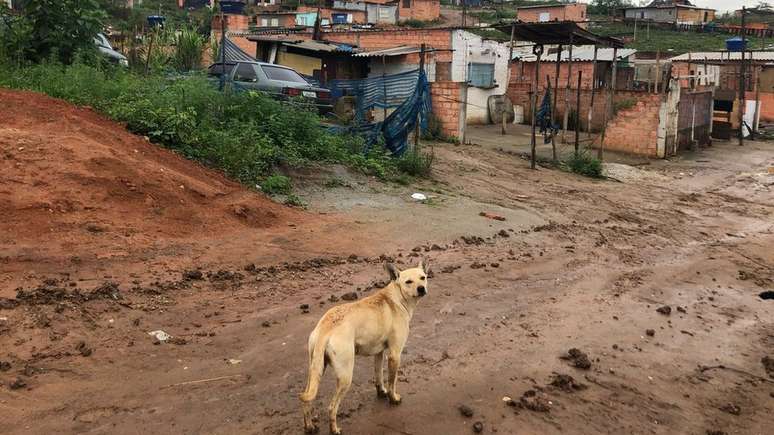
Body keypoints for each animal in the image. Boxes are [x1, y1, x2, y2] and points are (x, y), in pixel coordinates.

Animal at [300, 260, 430, 434]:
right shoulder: (395, 354)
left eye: (423, 277)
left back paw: (309, 427)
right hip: (345, 376)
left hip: (315, 369)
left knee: (307, 399)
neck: (396, 297)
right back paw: (334, 429)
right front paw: (393, 398)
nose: (421, 288)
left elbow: (379, 376)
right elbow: (392, 382)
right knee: (332, 407)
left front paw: (381, 392)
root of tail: (325, 328)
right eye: (408, 282)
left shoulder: (379, 353)